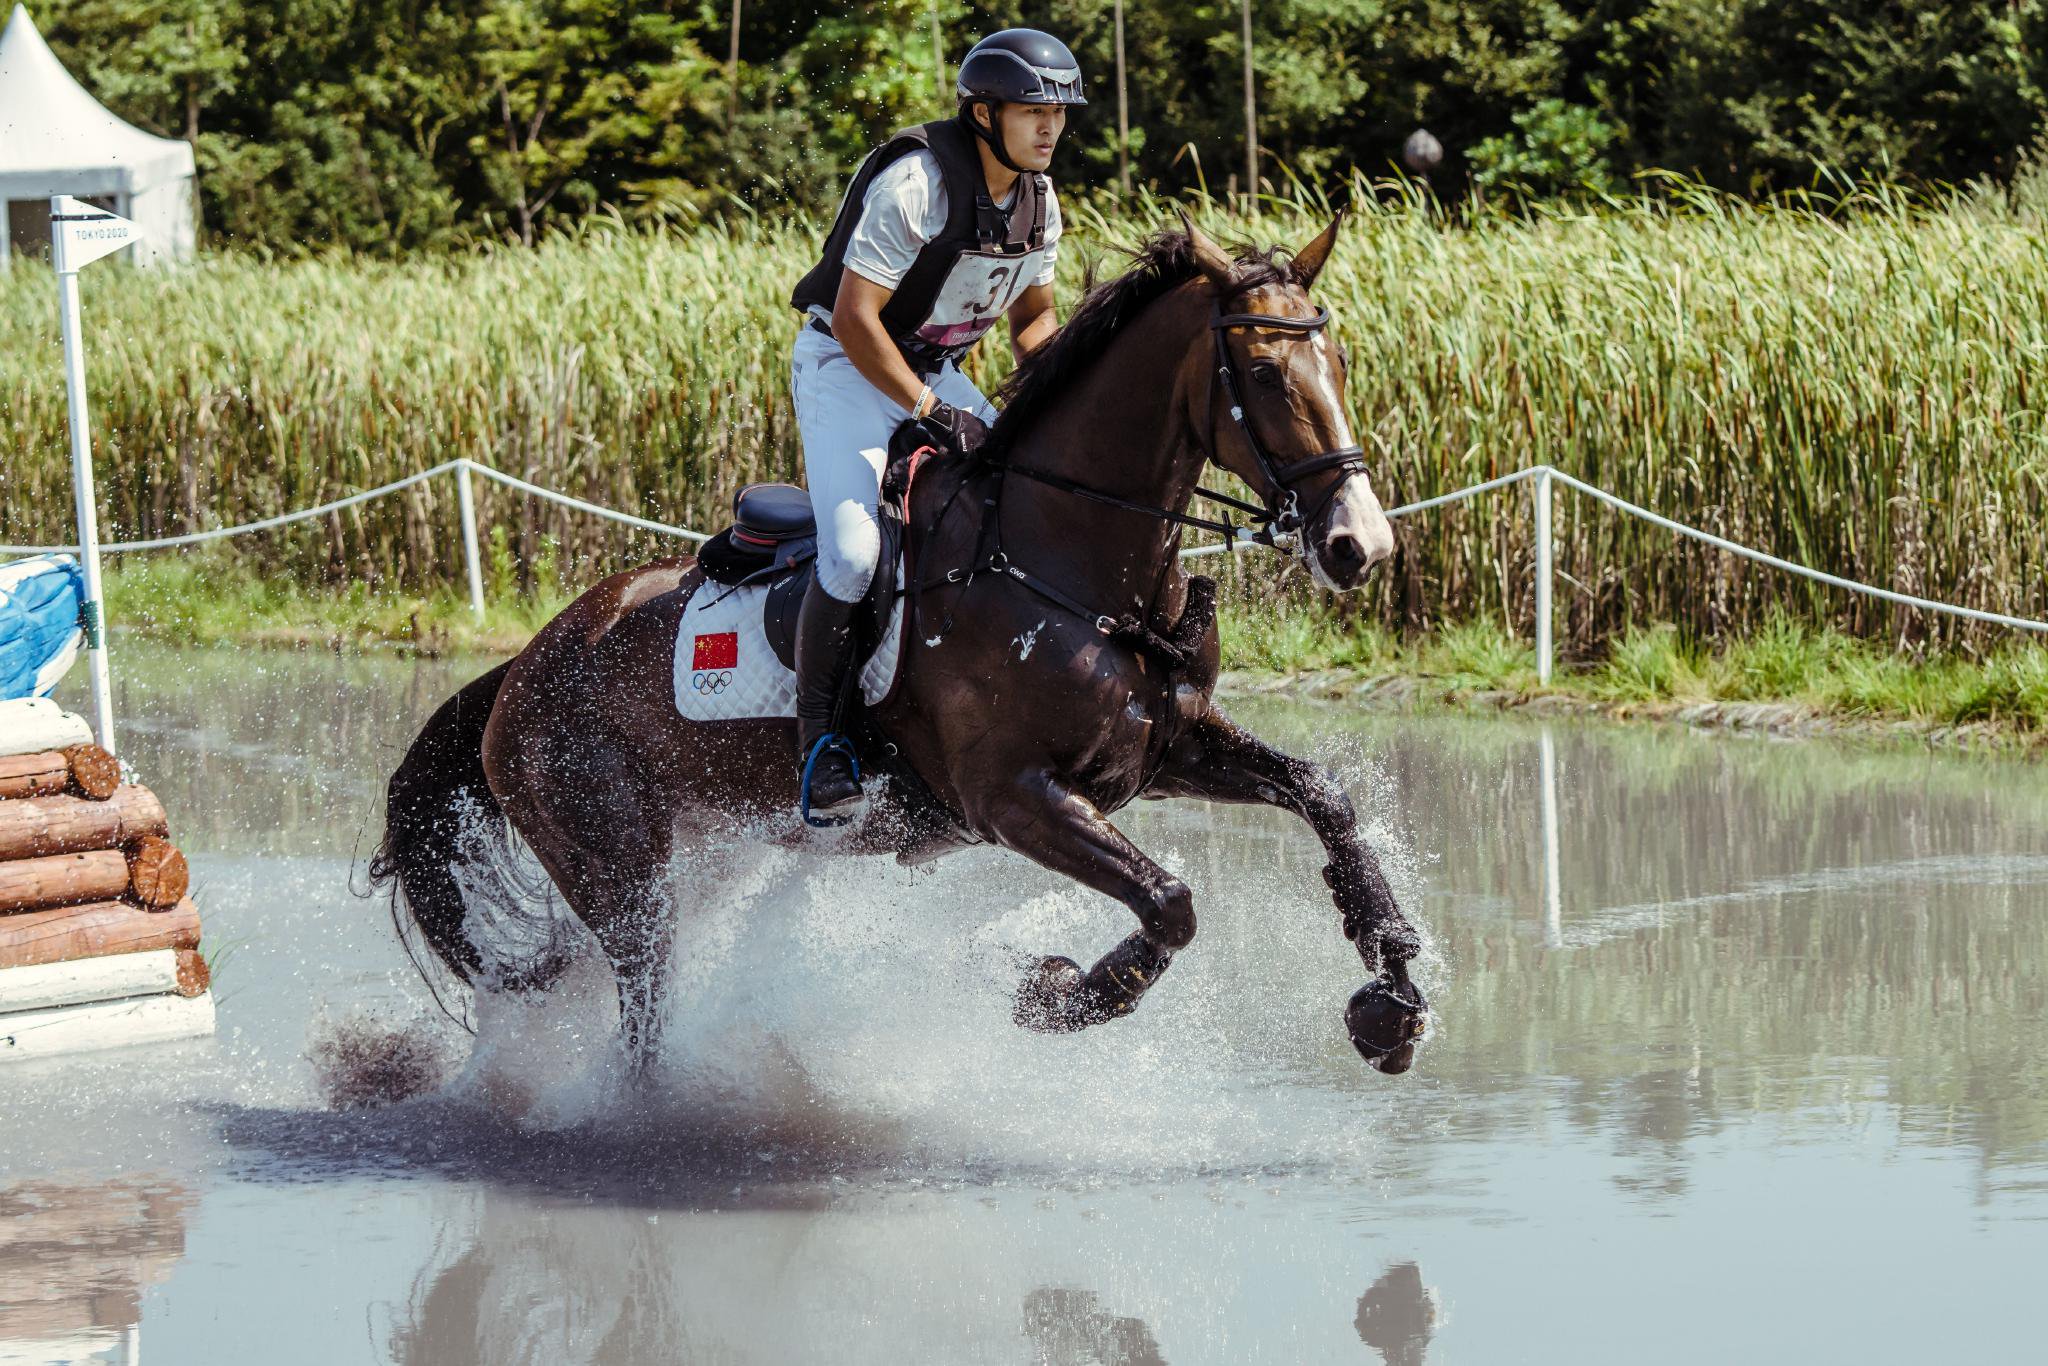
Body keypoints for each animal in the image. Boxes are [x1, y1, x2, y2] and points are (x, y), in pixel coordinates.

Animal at [368, 216, 1433, 1081]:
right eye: (1264, 375)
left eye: (1340, 363)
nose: (1360, 545)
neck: (1063, 557)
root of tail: (522, 669)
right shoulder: (1014, 798)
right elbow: (1170, 902)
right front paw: (1056, 992)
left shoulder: (1160, 753)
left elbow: (1321, 796)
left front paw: (1391, 995)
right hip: (622, 875)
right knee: (638, 1011)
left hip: (700, 854)